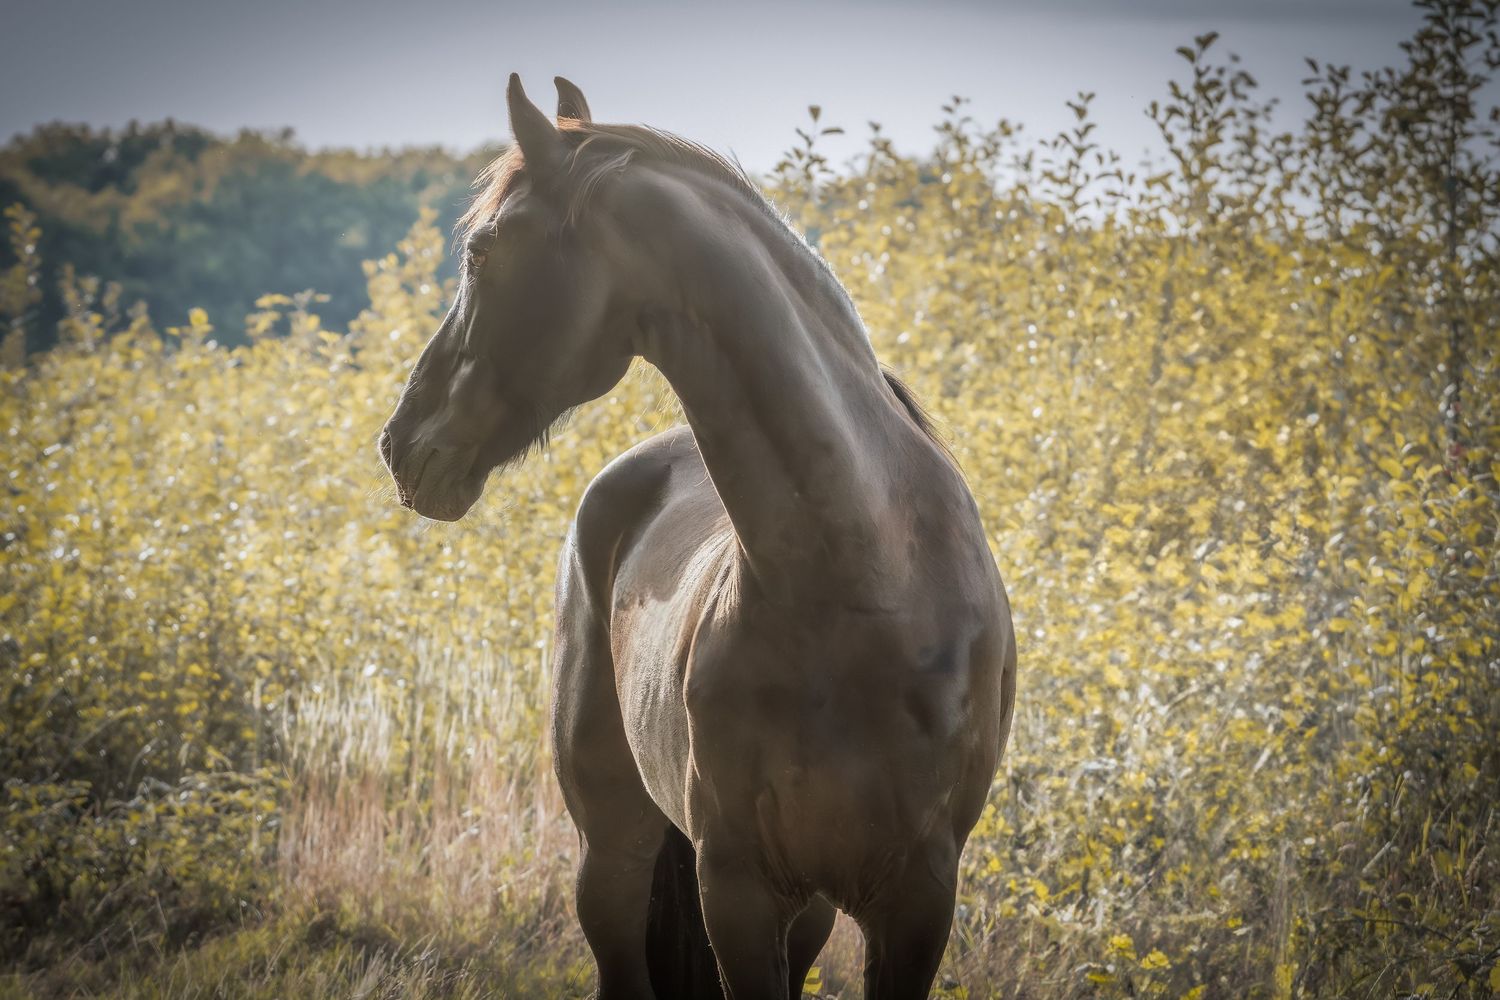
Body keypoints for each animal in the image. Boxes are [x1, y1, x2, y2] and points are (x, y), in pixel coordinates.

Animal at [378, 74, 1016, 1000]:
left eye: (482, 252)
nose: (399, 443)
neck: (868, 588)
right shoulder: (737, 887)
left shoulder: (917, 900)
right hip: (614, 853)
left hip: (809, 907)